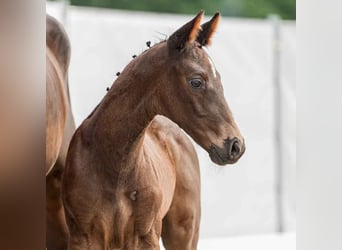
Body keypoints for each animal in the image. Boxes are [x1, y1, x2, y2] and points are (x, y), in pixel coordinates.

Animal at [61, 11, 243, 250]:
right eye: (196, 82)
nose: (235, 145)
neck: (115, 167)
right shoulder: (82, 237)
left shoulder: (146, 237)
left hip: (184, 231)